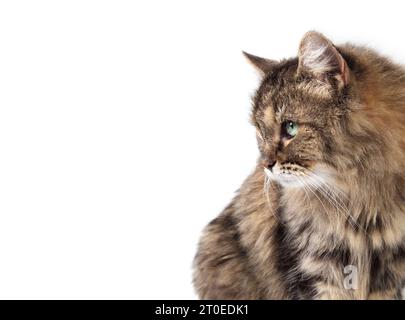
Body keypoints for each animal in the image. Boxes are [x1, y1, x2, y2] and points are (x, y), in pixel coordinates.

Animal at [191, 31, 404, 298]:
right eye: (260, 132)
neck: (359, 202)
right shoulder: (311, 268)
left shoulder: (389, 275)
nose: (265, 164)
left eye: (290, 128)